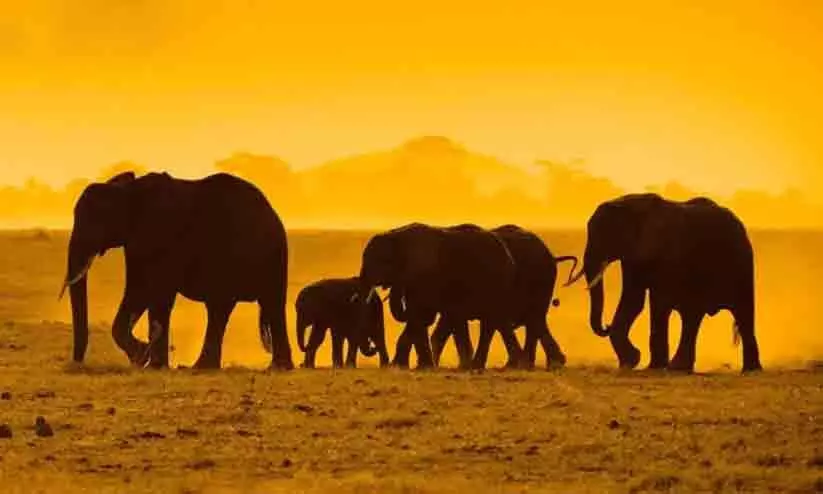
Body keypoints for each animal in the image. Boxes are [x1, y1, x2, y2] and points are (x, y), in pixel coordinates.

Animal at [59, 171, 295, 370]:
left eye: (94, 219)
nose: (77, 363)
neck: (127, 191)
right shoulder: (137, 243)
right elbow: (139, 291)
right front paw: (143, 358)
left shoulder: (162, 236)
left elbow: (155, 293)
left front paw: (149, 362)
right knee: (223, 308)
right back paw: (204, 367)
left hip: (265, 256)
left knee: (265, 303)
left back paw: (275, 368)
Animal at [355, 222, 526, 370]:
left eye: (378, 263)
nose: (371, 346)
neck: (397, 235)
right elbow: (419, 317)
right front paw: (414, 367)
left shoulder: (423, 274)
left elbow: (420, 315)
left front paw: (410, 367)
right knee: (494, 321)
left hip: (495, 283)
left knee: (489, 321)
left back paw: (478, 366)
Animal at [565, 193, 762, 373]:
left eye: (606, 234)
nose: (606, 326)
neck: (631, 204)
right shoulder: (633, 256)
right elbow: (633, 300)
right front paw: (630, 362)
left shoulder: (667, 255)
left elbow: (658, 302)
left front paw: (652, 367)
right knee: (693, 315)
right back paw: (681, 368)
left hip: (741, 265)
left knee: (741, 312)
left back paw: (749, 370)